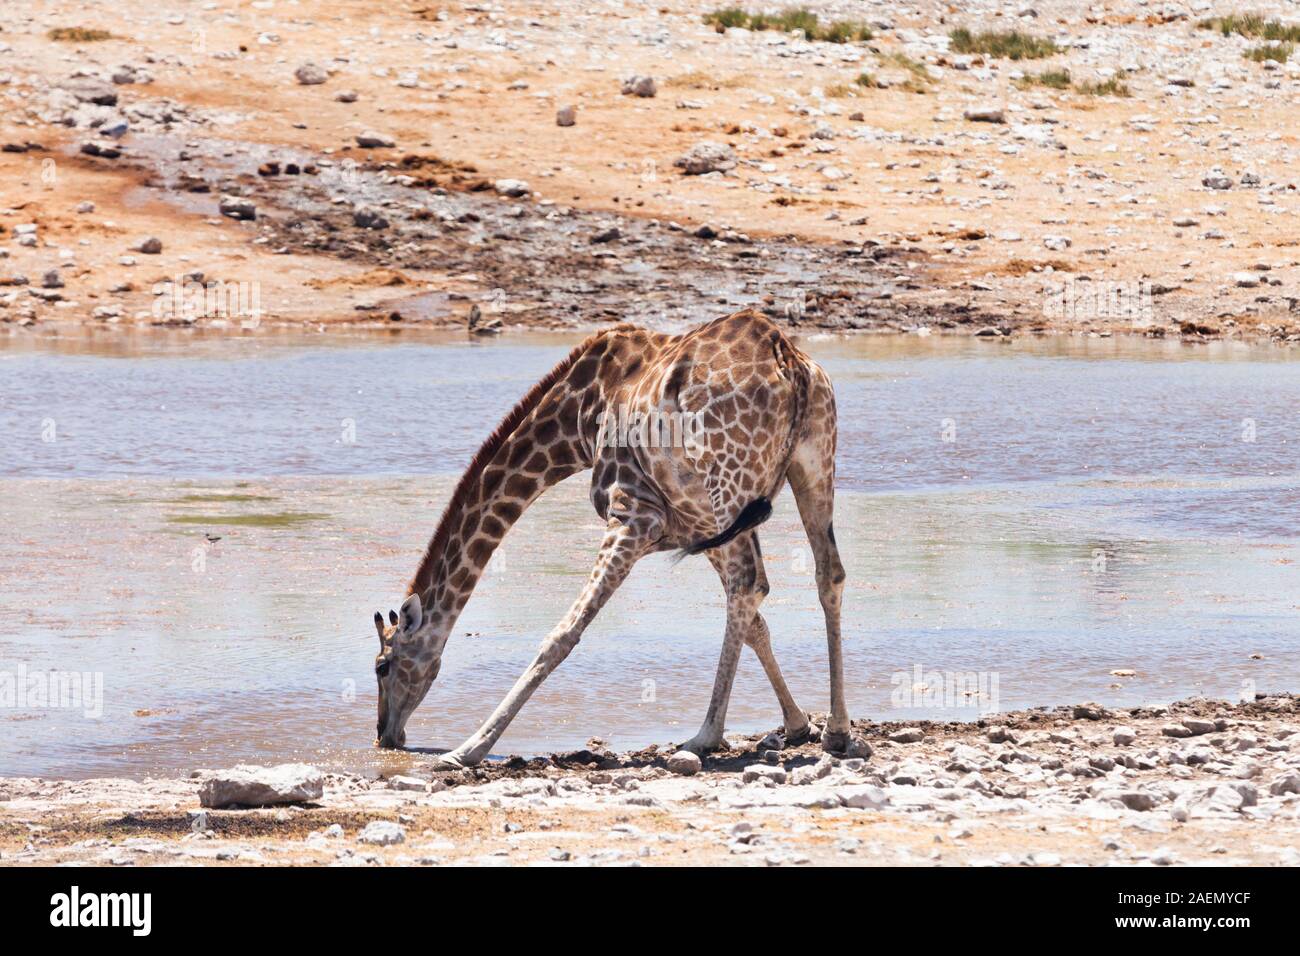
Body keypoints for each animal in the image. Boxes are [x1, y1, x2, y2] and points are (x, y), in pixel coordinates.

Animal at [372, 309, 853, 767]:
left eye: (382, 666)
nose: (385, 735)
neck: (577, 422)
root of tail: (787, 359)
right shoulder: (695, 523)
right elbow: (756, 625)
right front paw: (797, 723)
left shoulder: (634, 513)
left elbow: (564, 632)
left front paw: (468, 748)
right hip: (810, 464)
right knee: (824, 575)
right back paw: (837, 730)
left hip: (731, 484)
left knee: (749, 583)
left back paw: (705, 735)